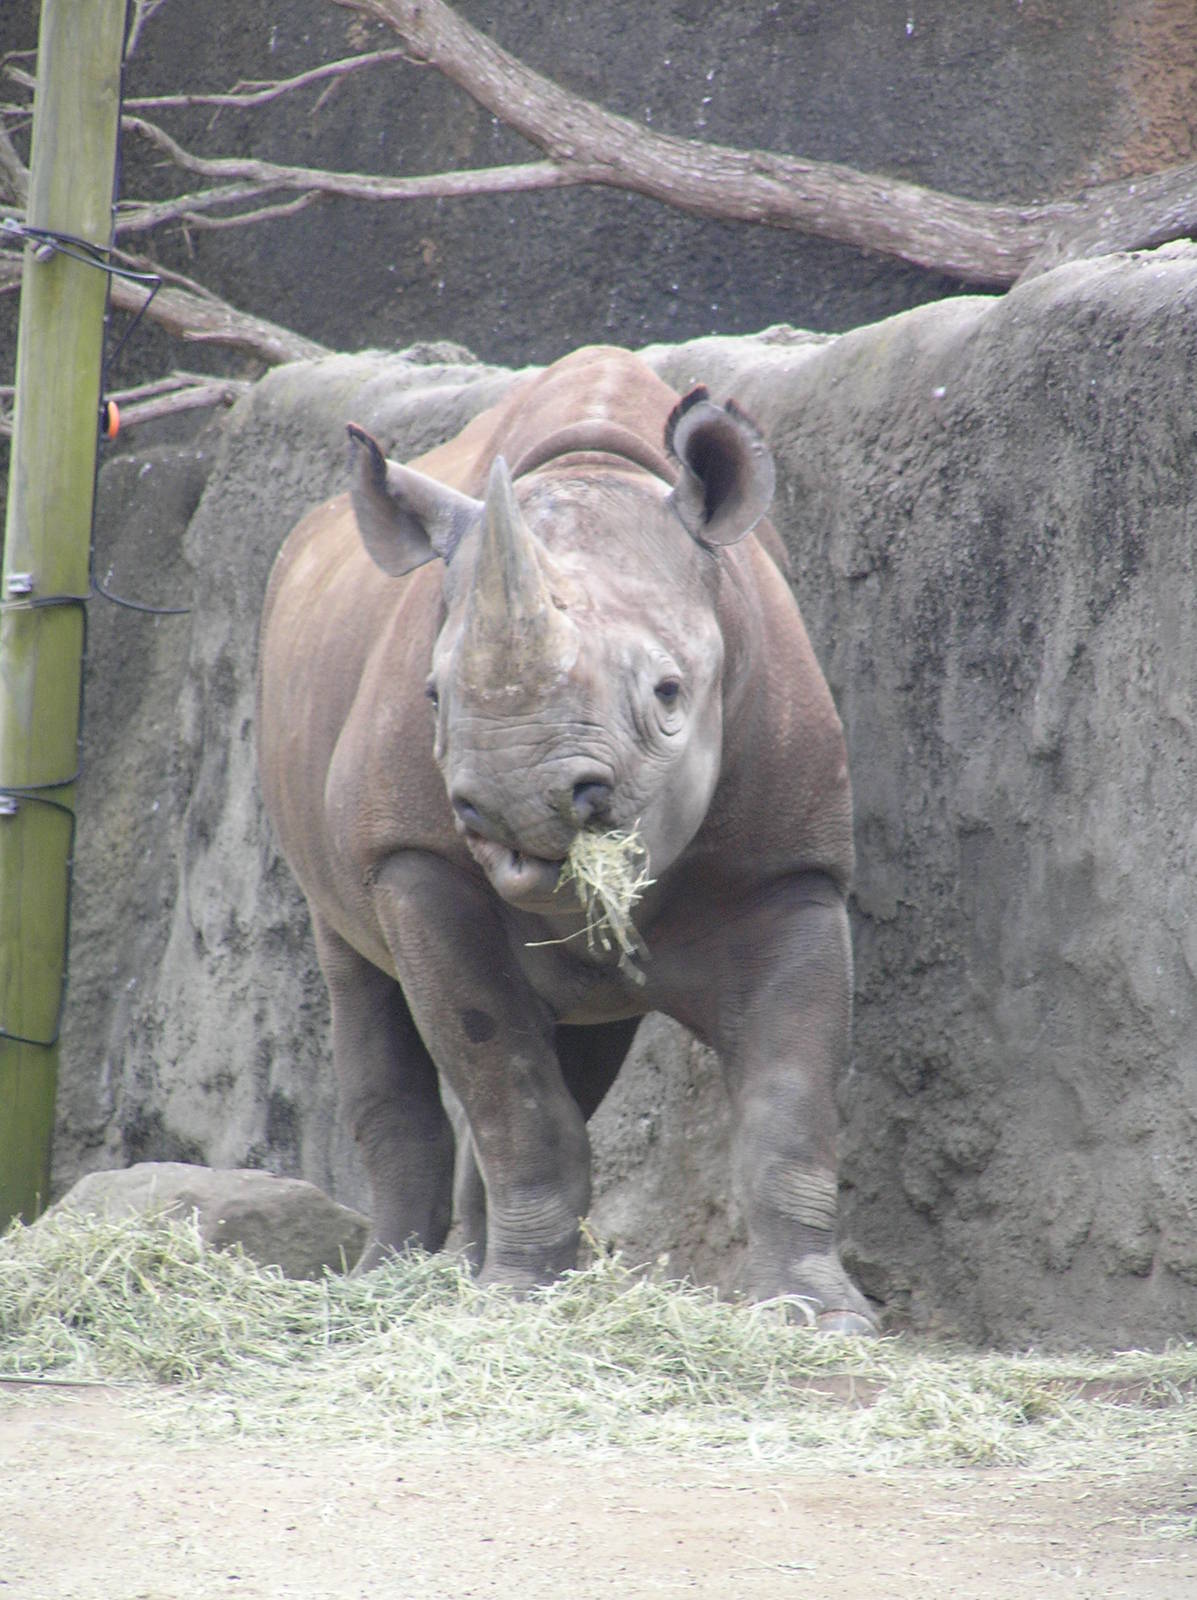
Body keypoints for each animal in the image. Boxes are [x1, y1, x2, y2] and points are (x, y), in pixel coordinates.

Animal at [257, 346, 874, 1332]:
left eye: (668, 693)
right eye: (432, 697)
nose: (516, 804)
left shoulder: (792, 870)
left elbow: (790, 1103)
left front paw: (818, 1314)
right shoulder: (415, 860)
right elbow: (507, 1085)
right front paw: (514, 1299)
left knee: (577, 1035)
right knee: (362, 982)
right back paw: (392, 1282)